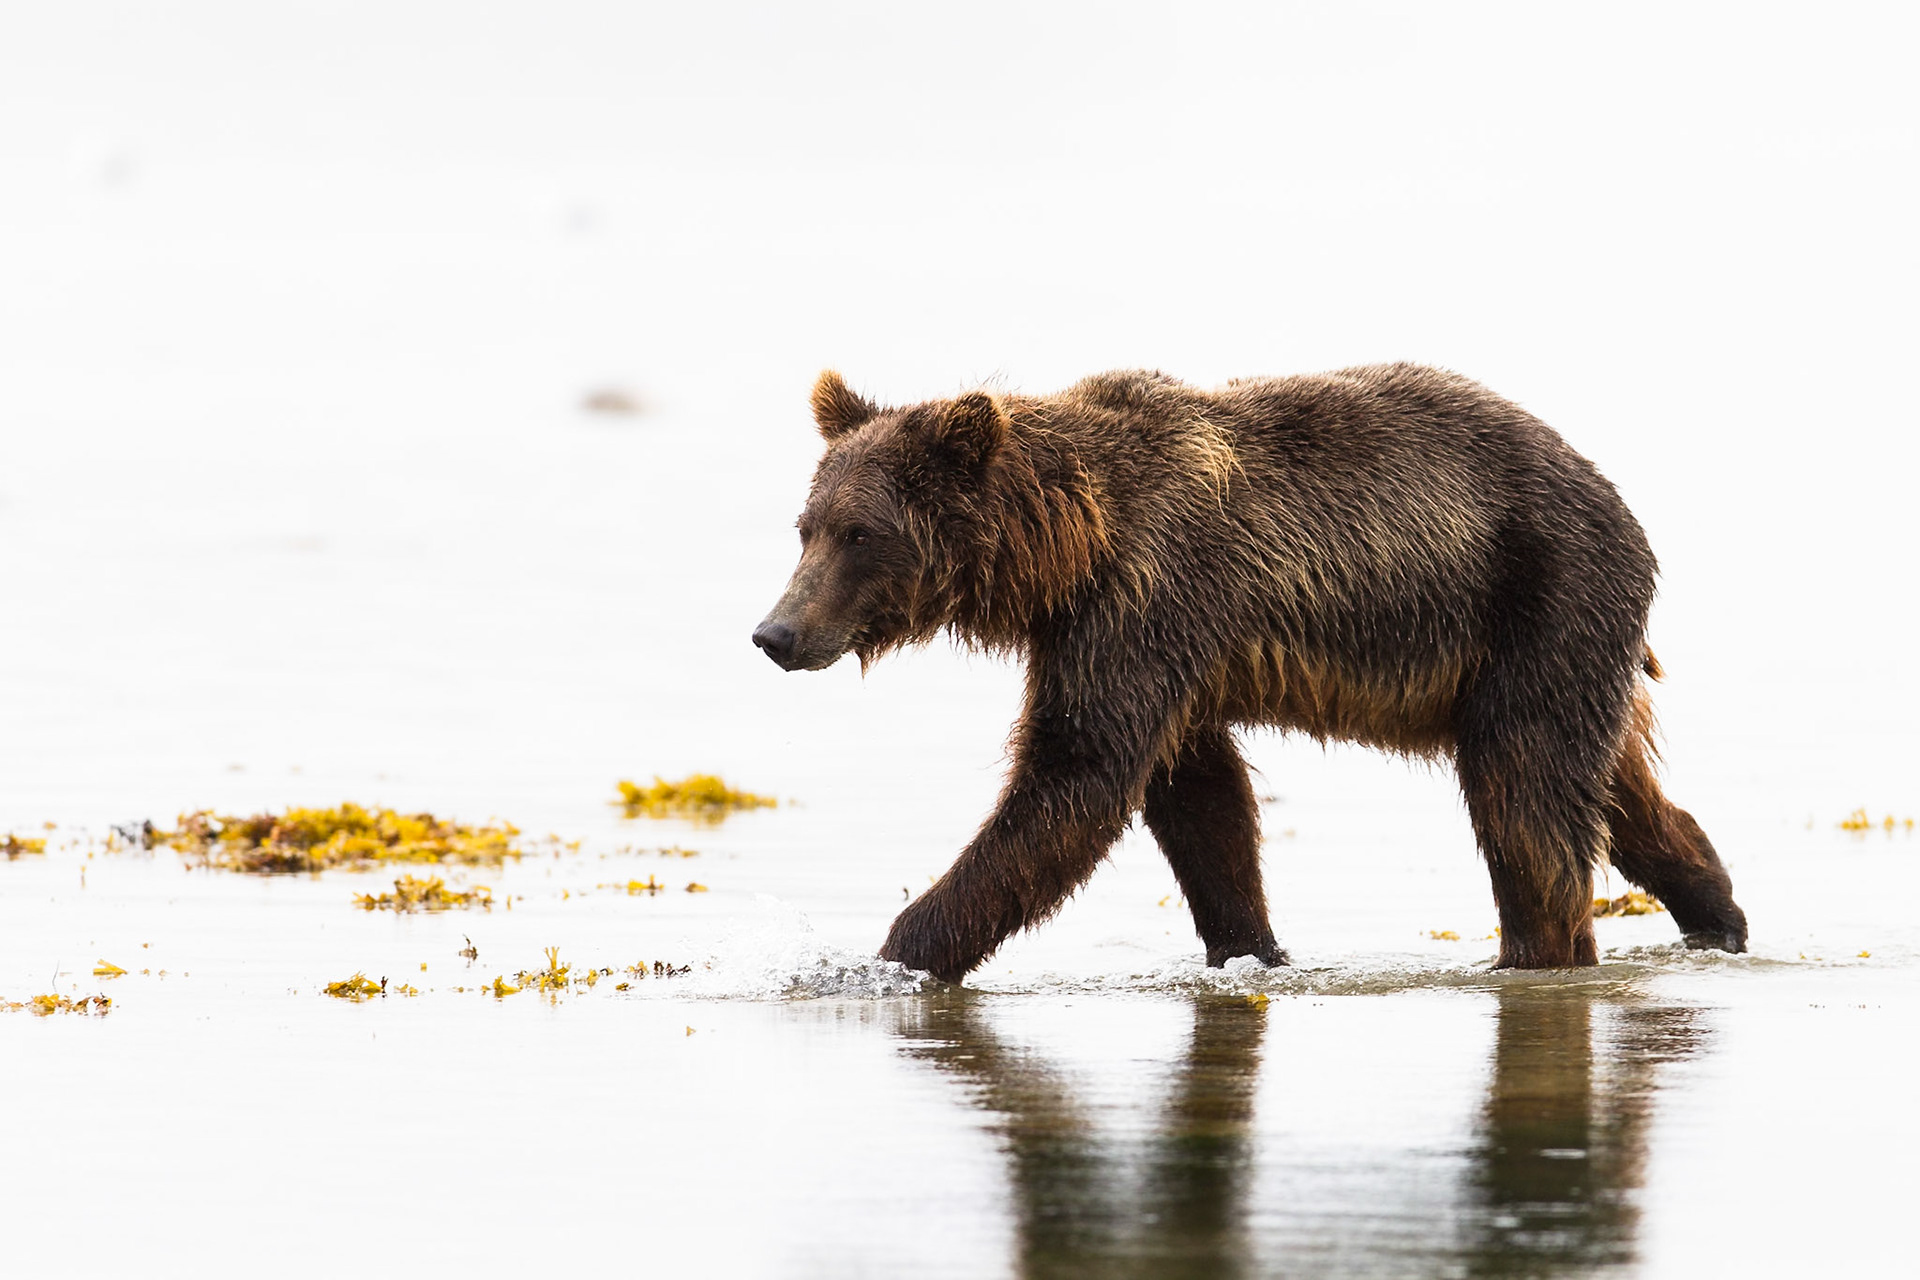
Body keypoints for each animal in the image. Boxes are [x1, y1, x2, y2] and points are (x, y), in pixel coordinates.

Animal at [752, 364, 1748, 982]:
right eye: (805, 527)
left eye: (860, 533)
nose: (776, 632)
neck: (1071, 544)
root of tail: (1615, 498)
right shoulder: (1140, 642)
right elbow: (1200, 799)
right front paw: (1252, 947)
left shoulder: (1148, 597)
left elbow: (1074, 781)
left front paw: (888, 954)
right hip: (1549, 648)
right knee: (1615, 786)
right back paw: (1716, 910)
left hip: (1536, 596)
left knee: (1526, 794)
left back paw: (1536, 951)